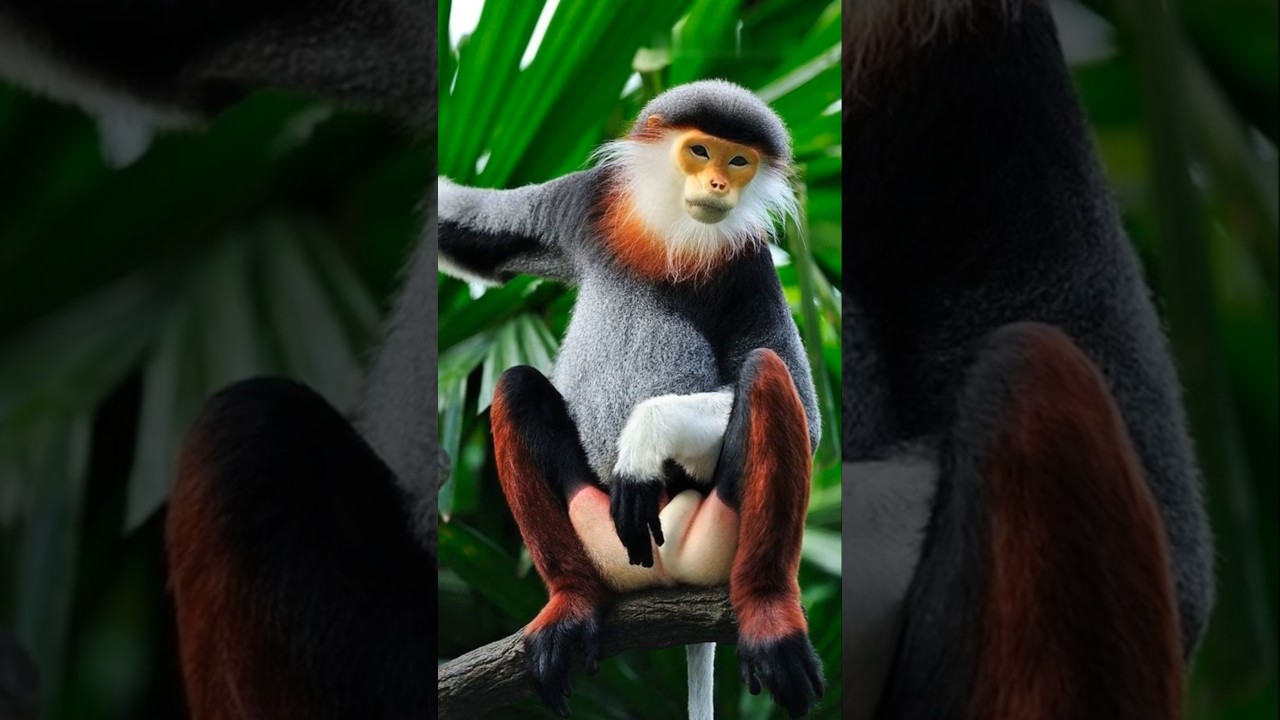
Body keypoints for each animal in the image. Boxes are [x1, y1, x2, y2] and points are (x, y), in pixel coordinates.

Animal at [438, 79, 826, 719]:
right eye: (700, 151)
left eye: (738, 161)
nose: (718, 185)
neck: (670, 231)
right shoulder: (583, 203)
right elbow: (474, 241)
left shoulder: (751, 263)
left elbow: (809, 414)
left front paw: (646, 438)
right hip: (601, 532)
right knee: (514, 384)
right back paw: (571, 604)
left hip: (716, 537)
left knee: (767, 373)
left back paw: (770, 614)